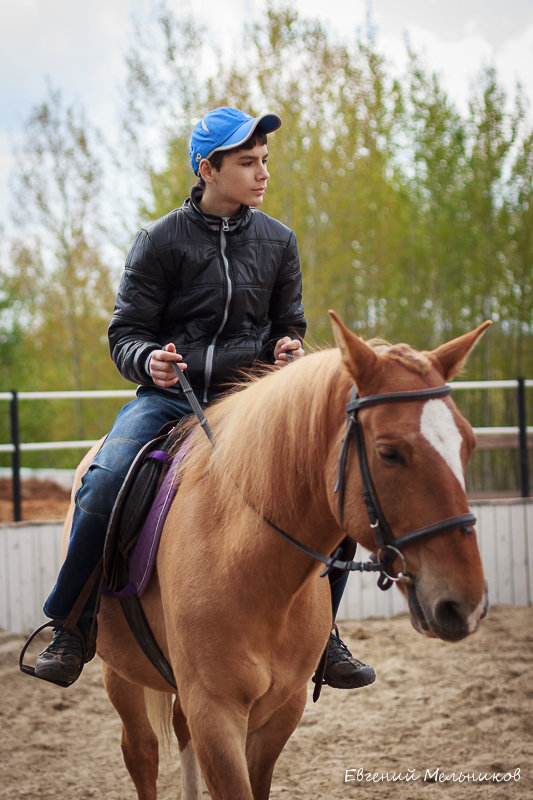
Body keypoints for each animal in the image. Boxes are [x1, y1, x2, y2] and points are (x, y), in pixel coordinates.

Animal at [61, 312, 486, 800]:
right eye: (389, 452)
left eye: (468, 445)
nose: (466, 605)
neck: (251, 566)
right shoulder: (216, 713)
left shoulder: (281, 711)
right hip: (120, 673)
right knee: (141, 752)